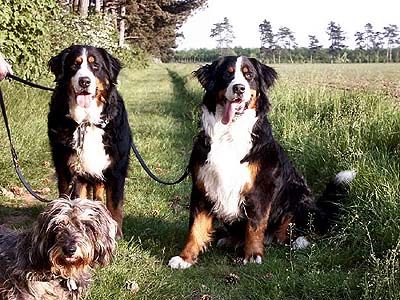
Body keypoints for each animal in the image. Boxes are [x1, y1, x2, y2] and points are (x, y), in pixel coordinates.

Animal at [47, 45, 131, 237]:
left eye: (96, 66)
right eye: (74, 65)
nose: (84, 81)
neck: (87, 122)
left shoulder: (116, 168)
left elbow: (115, 205)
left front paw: (116, 234)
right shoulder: (74, 170)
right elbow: (77, 202)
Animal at [167, 56, 354, 270]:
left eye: (249, 76)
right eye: (227, 74)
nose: (239, 88)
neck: (229, 133)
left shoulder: (261, 188)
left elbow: (255, 225)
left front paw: (252, 255)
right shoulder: (202, 185)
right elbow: (195, 227)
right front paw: (185, 257)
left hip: (297, 196)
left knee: (299, 229)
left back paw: (298, 241)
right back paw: (230, 240)